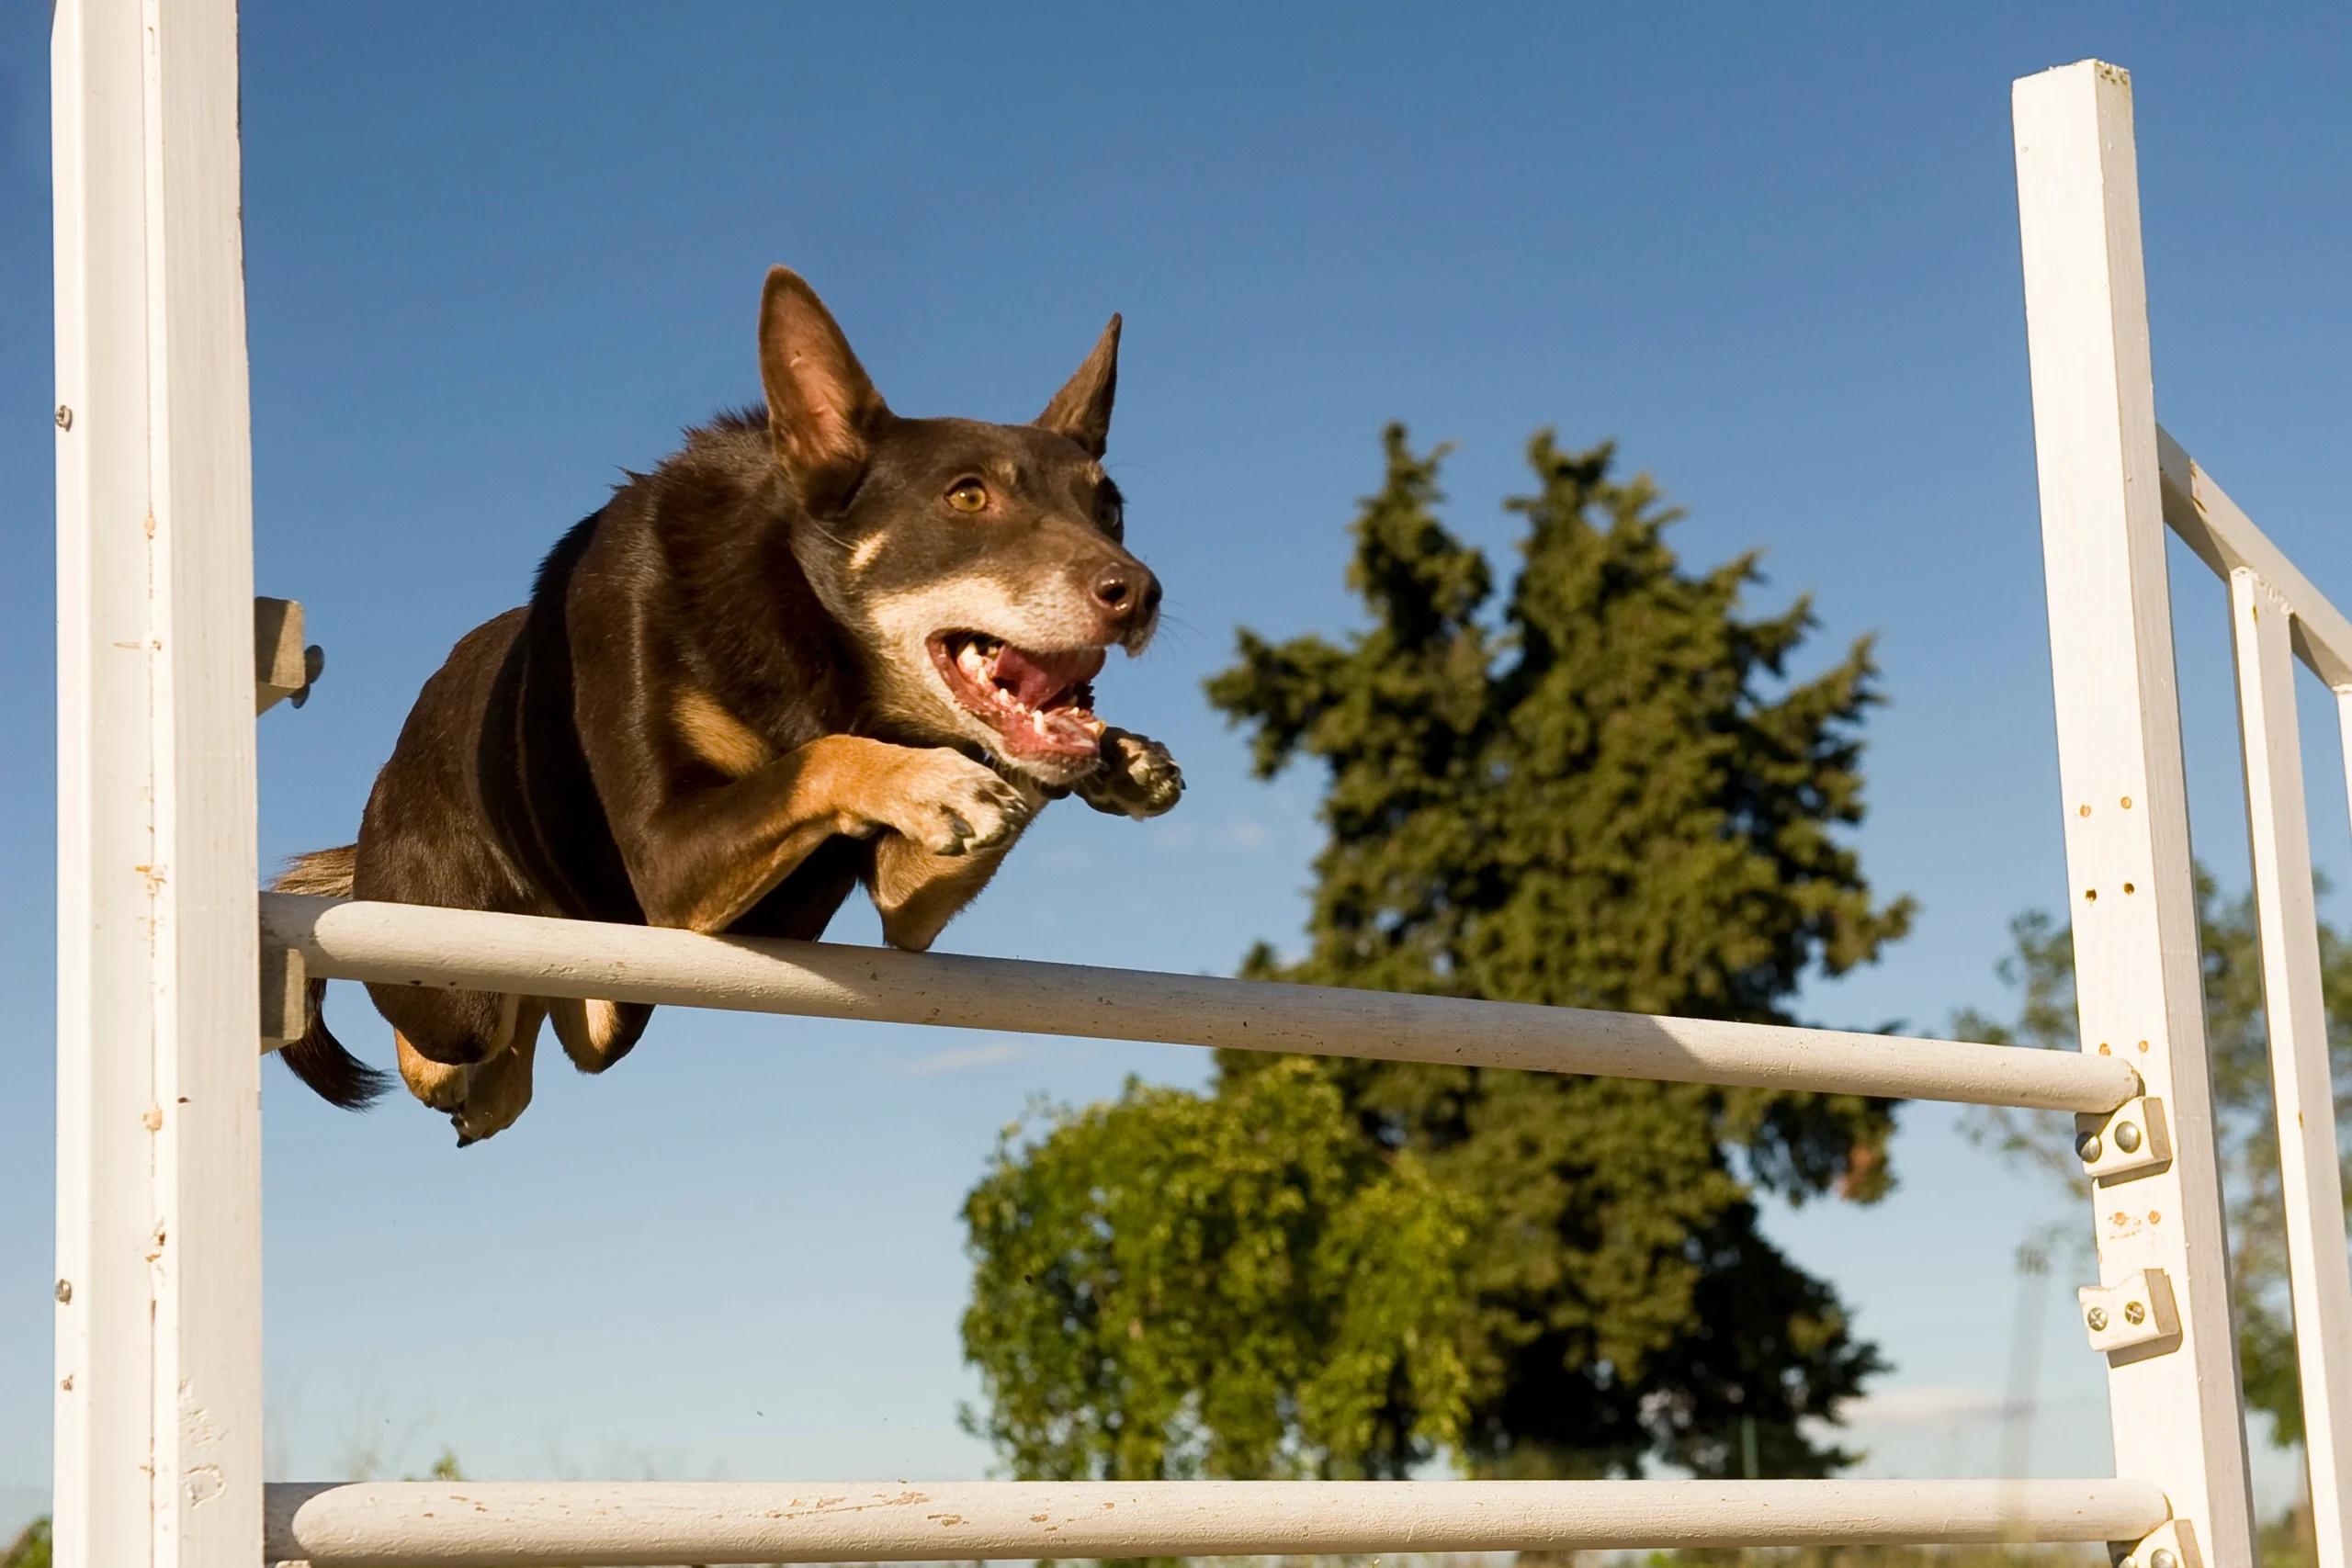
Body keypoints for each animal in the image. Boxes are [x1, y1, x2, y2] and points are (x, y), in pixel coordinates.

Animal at [284, 270, 1185, 1146]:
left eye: (1110, 508)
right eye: (967, 497)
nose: (1139, 594)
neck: (805, 625)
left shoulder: (903, 902)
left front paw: (1116, 759)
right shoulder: (667, 855)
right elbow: (820, 755)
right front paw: (937, 778)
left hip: (607, 974)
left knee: (549, 1031)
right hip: (453, 972)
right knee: (451, 1039)